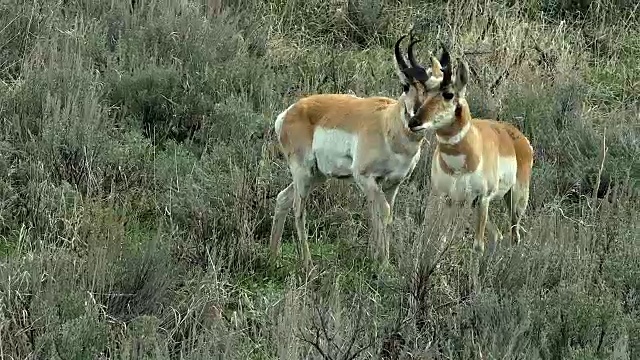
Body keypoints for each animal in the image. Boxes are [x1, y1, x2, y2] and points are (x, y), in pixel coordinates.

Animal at [270, 33, 450, 268]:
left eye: (440, 92)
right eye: (406, 85)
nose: (415, 120)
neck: (387, 123)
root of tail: (289, 113)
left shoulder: (391, 184)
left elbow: (382, 216)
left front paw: (376, 258)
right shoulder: (365, 178)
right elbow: (383, 212)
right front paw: (383, 263)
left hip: (317, 175)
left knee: (283, 198)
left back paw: (272, 256)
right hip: (303, 173)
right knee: (298, 208)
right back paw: (307, 263)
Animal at [404, 52, 536, 256]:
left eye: (449, 94)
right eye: (426, 91)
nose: (414, 122)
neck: (458, 165)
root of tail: (518, 136)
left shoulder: (483, 199)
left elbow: (477, 246)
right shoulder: (445, 197)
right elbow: (439, 239)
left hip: (516, 200)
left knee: (515, 235)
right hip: (475, 204)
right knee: (498, 234)